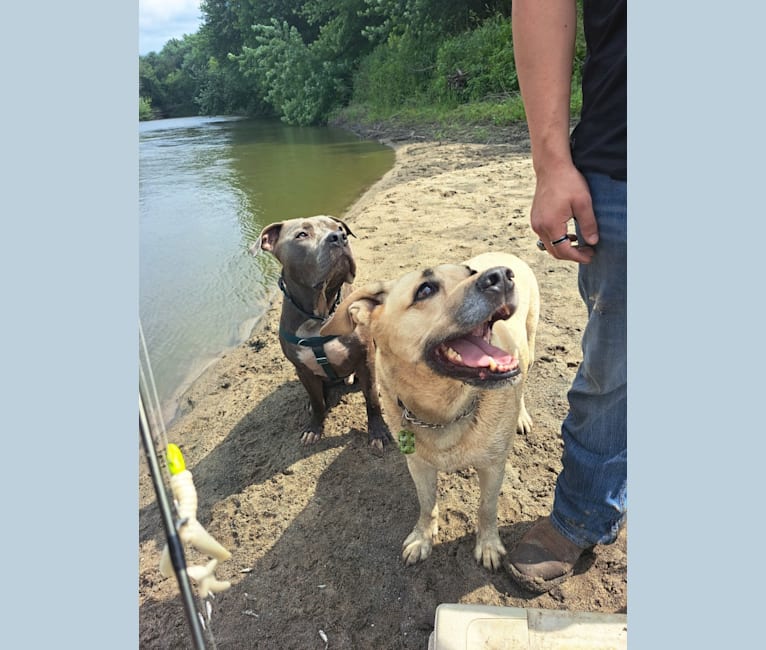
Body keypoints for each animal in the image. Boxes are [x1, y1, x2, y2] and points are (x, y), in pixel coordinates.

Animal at [256, 215, 392, 448]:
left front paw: (378, 432)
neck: (321, 312)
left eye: (338, 228)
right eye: (302, 234)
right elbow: (317, 402)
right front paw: (314, 428)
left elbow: (372, 400)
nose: (339, 237)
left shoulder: (365, 358)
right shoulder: (303, 370)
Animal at [322, 251, 540, 564]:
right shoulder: (418, 464)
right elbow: (427, 504)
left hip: (529, 346)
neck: (444, 410)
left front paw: (488, 545)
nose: (502, 276)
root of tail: (505, 254)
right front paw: (422, 537)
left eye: (470, 272)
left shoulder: (493, 465)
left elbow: (487, 507)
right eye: (425, 290)